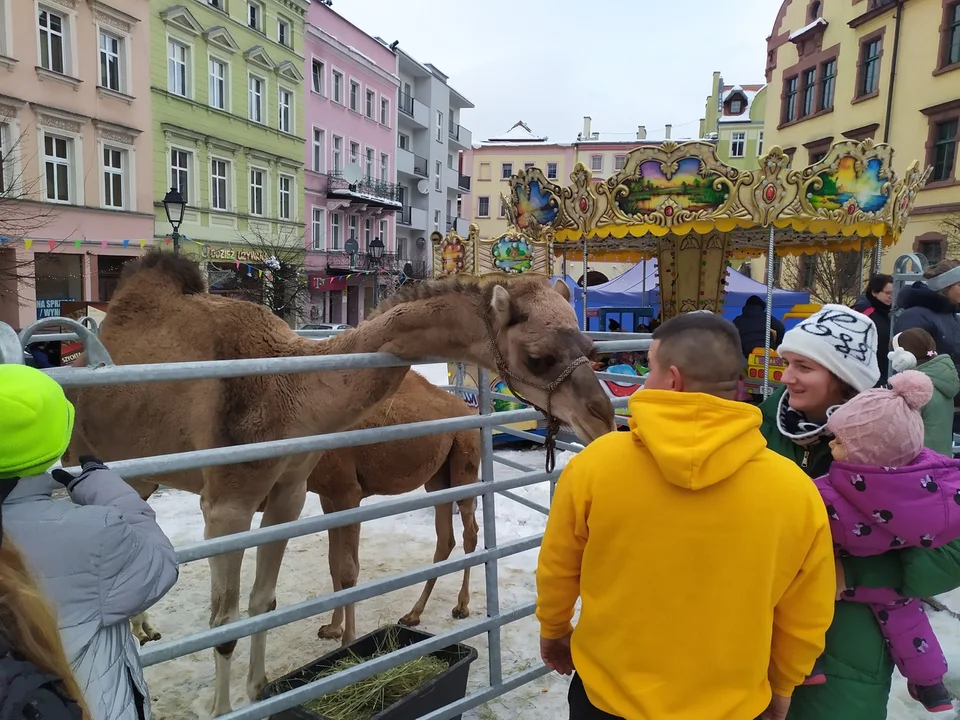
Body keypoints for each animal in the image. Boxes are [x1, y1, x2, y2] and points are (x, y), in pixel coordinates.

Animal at [67, 252, 616, 716]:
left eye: (592, 348)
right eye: (538, 358)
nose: (603, 418)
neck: (290, 392)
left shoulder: (287, 495)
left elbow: (263, 603)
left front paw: (260, 690)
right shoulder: (227, 502)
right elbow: (225, 622)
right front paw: (226, 708)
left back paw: (144, 629)